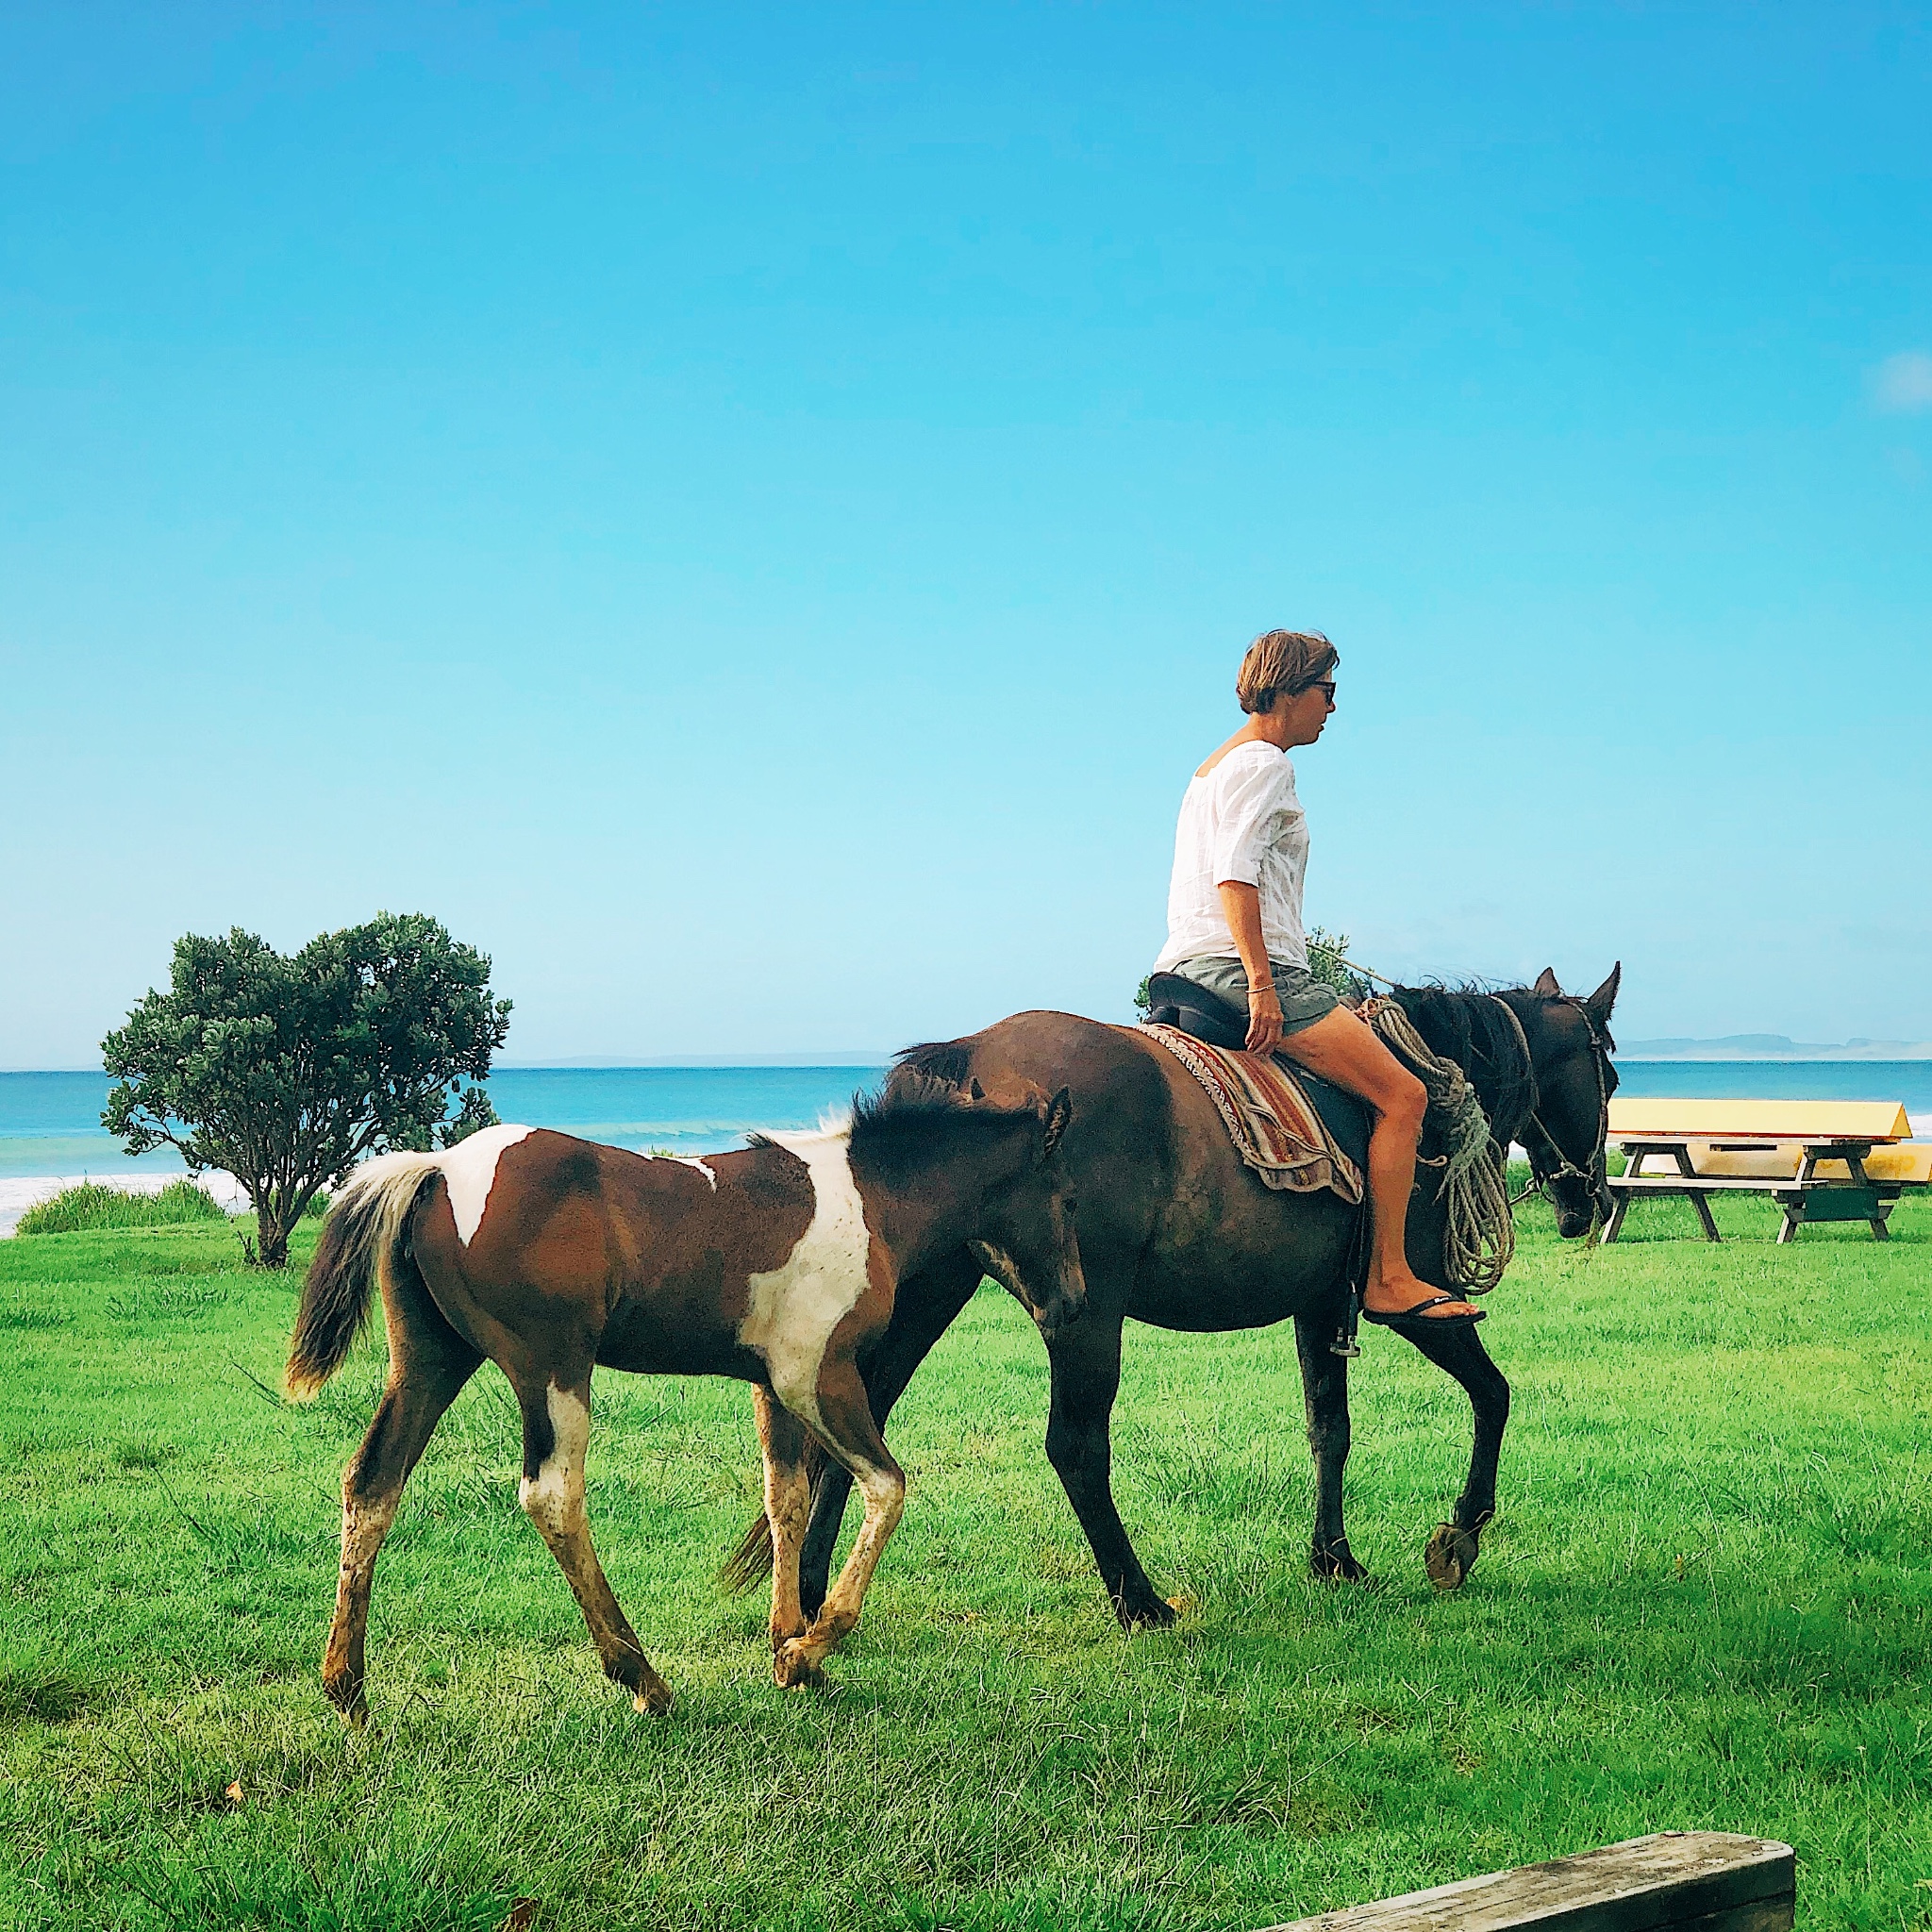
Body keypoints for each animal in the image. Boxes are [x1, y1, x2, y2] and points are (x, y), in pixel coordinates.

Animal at [282, 1090, 1081, 1723]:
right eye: (1067, 1198)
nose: (1071, 1301)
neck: (865, 1200)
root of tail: (440, 1168)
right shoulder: (815, 1376)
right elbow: (887, 1489)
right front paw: (809, 1649)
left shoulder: (772, 1385)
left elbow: (785, 1499)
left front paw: (785, 1645)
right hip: (552, 1368)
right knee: (551, 1496)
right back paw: (643, 1680)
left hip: (430, 1362)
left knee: (373, 1483)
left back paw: (348, 1691)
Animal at [730, 974, 1623, 1623]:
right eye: (1609, 1075)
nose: (1590, 1202)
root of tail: (965, 1056)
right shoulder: (1413, 1306)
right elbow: (1493, 1394)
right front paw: (1460, 1535)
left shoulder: (1318, 1308)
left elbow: (1329, 1430)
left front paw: (1334, 1559)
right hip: (1084, 1313)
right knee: (1075, 1448)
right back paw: (1138, 1599)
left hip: (930, 1293)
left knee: (859, 1423)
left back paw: (812, 1595)